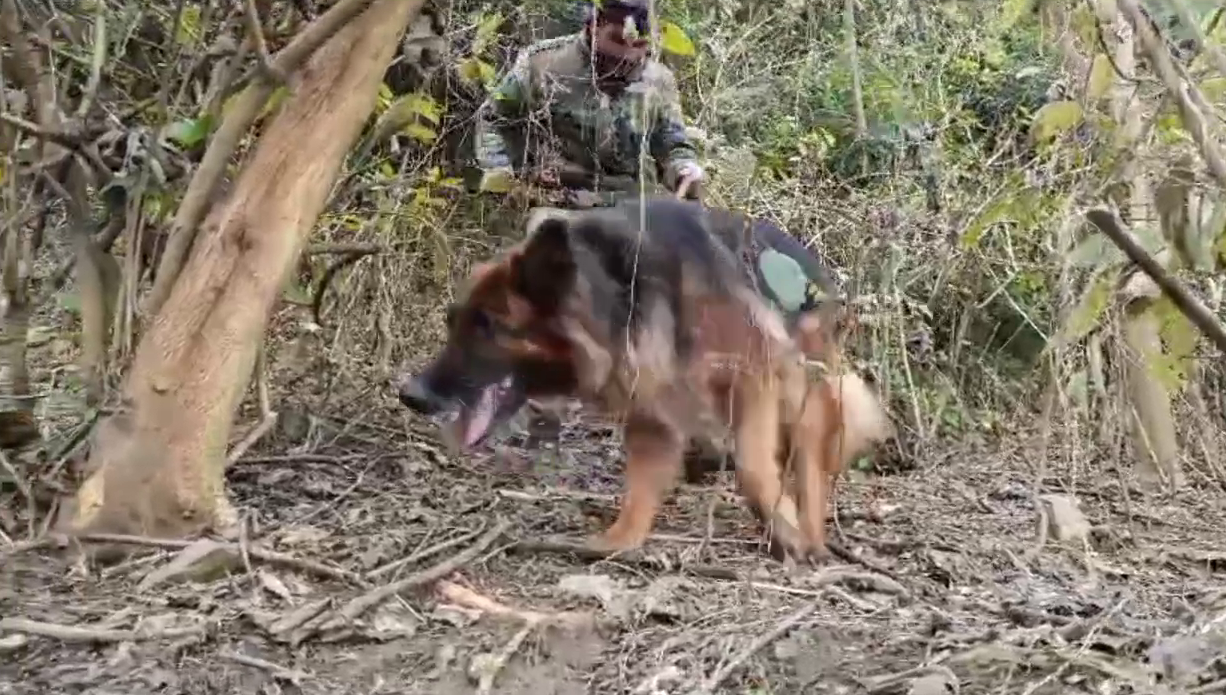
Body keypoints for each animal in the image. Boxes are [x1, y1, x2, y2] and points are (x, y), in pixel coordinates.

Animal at [399, 196, 892, 561]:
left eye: (488, 327)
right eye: (453, 322)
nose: (410, 395)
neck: (624, 294)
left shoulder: (754, 379)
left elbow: (753, 470)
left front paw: (785, 529)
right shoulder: (652, 408)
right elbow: (639, 487)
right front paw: (619, 540)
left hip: (801, 395)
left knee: (811, 466)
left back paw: (811, 534)